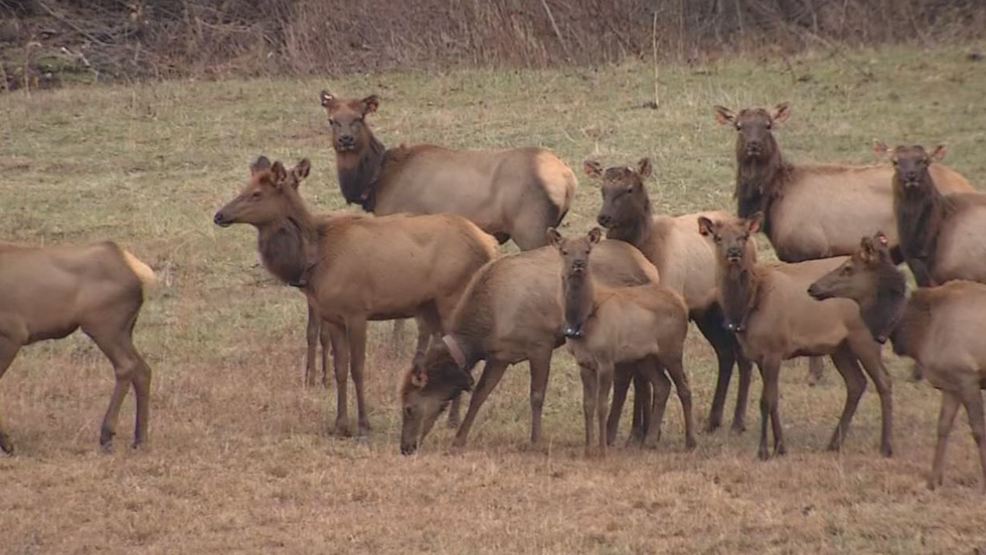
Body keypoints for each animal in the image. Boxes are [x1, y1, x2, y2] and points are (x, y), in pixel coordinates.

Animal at [0, 240, 156, 453]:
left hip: (105, 327)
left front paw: (7, 442)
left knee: (127, 366)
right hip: (124, 331)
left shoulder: (12, 334)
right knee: (143, 369)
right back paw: (140, 439)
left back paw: (107, 435)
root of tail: (136, 270)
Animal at [214, 156, 498, 437]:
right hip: (431, 307)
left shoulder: (357, 312)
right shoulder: (333, 316)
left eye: (256, 193)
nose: (219, 215)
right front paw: (340, 424)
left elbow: (358, 368)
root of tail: (489, 244)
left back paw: (453, 419)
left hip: (453, 298)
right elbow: (340, 368)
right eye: (245, 186)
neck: (315, 258)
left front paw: (363, 424)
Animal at [552, 228, 694, 456]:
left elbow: (602, 405)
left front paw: (602, 449)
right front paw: (588, 448)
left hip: (672, 348)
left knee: (684, 388)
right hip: (646, 356)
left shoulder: (606, 359)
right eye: (564, 251)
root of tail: (682, 304)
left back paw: (691, 441)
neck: (582, 320)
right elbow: (588, 405)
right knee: (662, 385)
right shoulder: (583, 362)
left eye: (587, 250)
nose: (578, 264)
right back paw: (649, 441)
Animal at [698, 213, 894, 460]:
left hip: (864, 337)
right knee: (856, 383)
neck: (749, 304)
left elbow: (766, 400)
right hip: (840, 347)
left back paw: (886, 446)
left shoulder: (774, 348)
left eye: (744, 236)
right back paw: (834, 443)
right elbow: (773, 399)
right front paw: (780, 446)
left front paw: (764, 450)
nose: (734, 252)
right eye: (718, 237)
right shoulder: (760, 354)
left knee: (884, 381)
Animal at [809, 232, 986, 491]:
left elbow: (979, 430)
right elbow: (943, 427)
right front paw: (933, 480)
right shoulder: (950, 383)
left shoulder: (967, 377)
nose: (813, 287)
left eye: (848, 268)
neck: (920, 330)